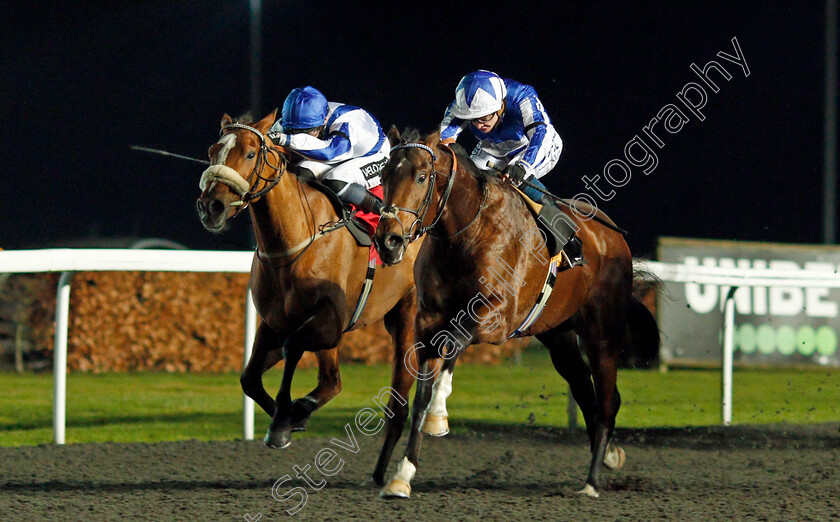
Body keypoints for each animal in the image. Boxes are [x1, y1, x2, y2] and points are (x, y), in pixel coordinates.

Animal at [195, 108, 420, 472]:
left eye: (250, 153)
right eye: (213, 150)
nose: (210, 207)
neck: (295, 240)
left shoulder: (327, 323)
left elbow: (298, 352)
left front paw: (284, 420)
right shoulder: (274, 322)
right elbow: (250, 377)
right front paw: (287, 418)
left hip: (407, 313)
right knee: (331, 380)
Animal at [370, 126, 660, 496]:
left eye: (421, 176)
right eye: (384, 175)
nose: (388, 241)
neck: (467, 233)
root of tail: (613, 235)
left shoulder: (496, 317)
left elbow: (454, 343)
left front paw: (438, 416)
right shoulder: (427, 321)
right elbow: (421, 391)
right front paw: (401, 476)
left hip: (601, 336)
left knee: (607, 400)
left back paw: (592, 482)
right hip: (559, 337)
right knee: (587, 394)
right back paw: (608, 455)